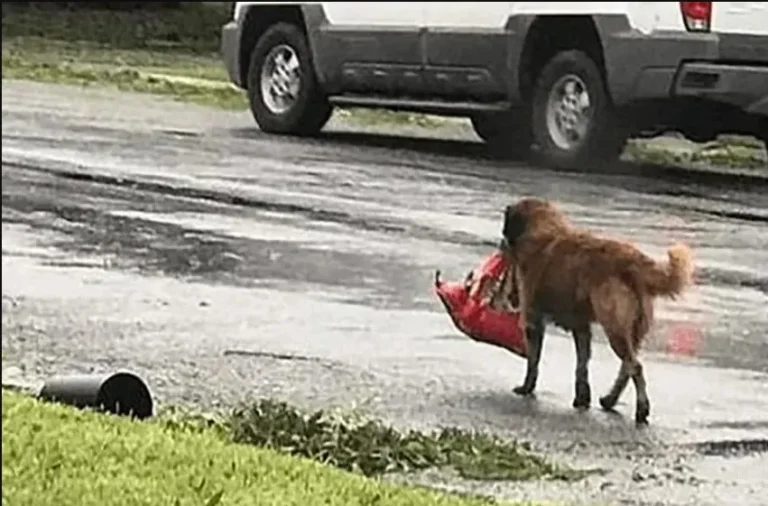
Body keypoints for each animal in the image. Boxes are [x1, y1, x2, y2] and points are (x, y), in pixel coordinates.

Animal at [500, 196, 692, 424]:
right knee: (627, 367)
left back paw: (641, 409)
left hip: (615, 328)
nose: (501, 244)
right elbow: (582, 365)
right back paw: (609, 400)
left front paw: (526, 388)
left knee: (634, 366)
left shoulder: (533, 320)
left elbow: (533, 361)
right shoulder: (581, 328)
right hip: (633, 331)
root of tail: (632, 260)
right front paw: (582, 398)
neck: (544, 230)